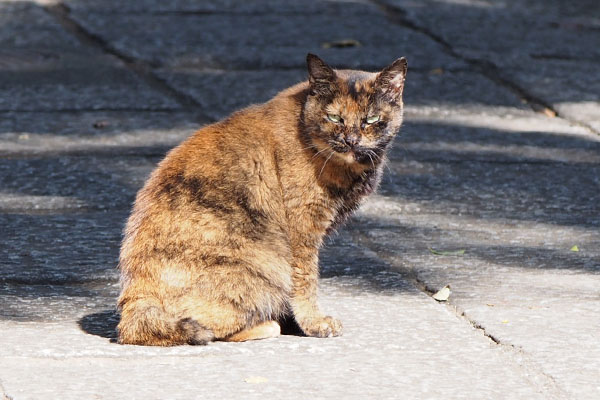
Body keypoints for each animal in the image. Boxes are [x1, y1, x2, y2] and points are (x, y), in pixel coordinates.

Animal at [116, 54, 408, 346]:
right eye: (335, 117)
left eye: (371, 119)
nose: (351, 141)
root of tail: (135, 299)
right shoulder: (303, 231)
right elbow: (306, 280)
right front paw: (314, 323)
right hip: (261, 267)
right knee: (209, 329)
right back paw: (268, 325)